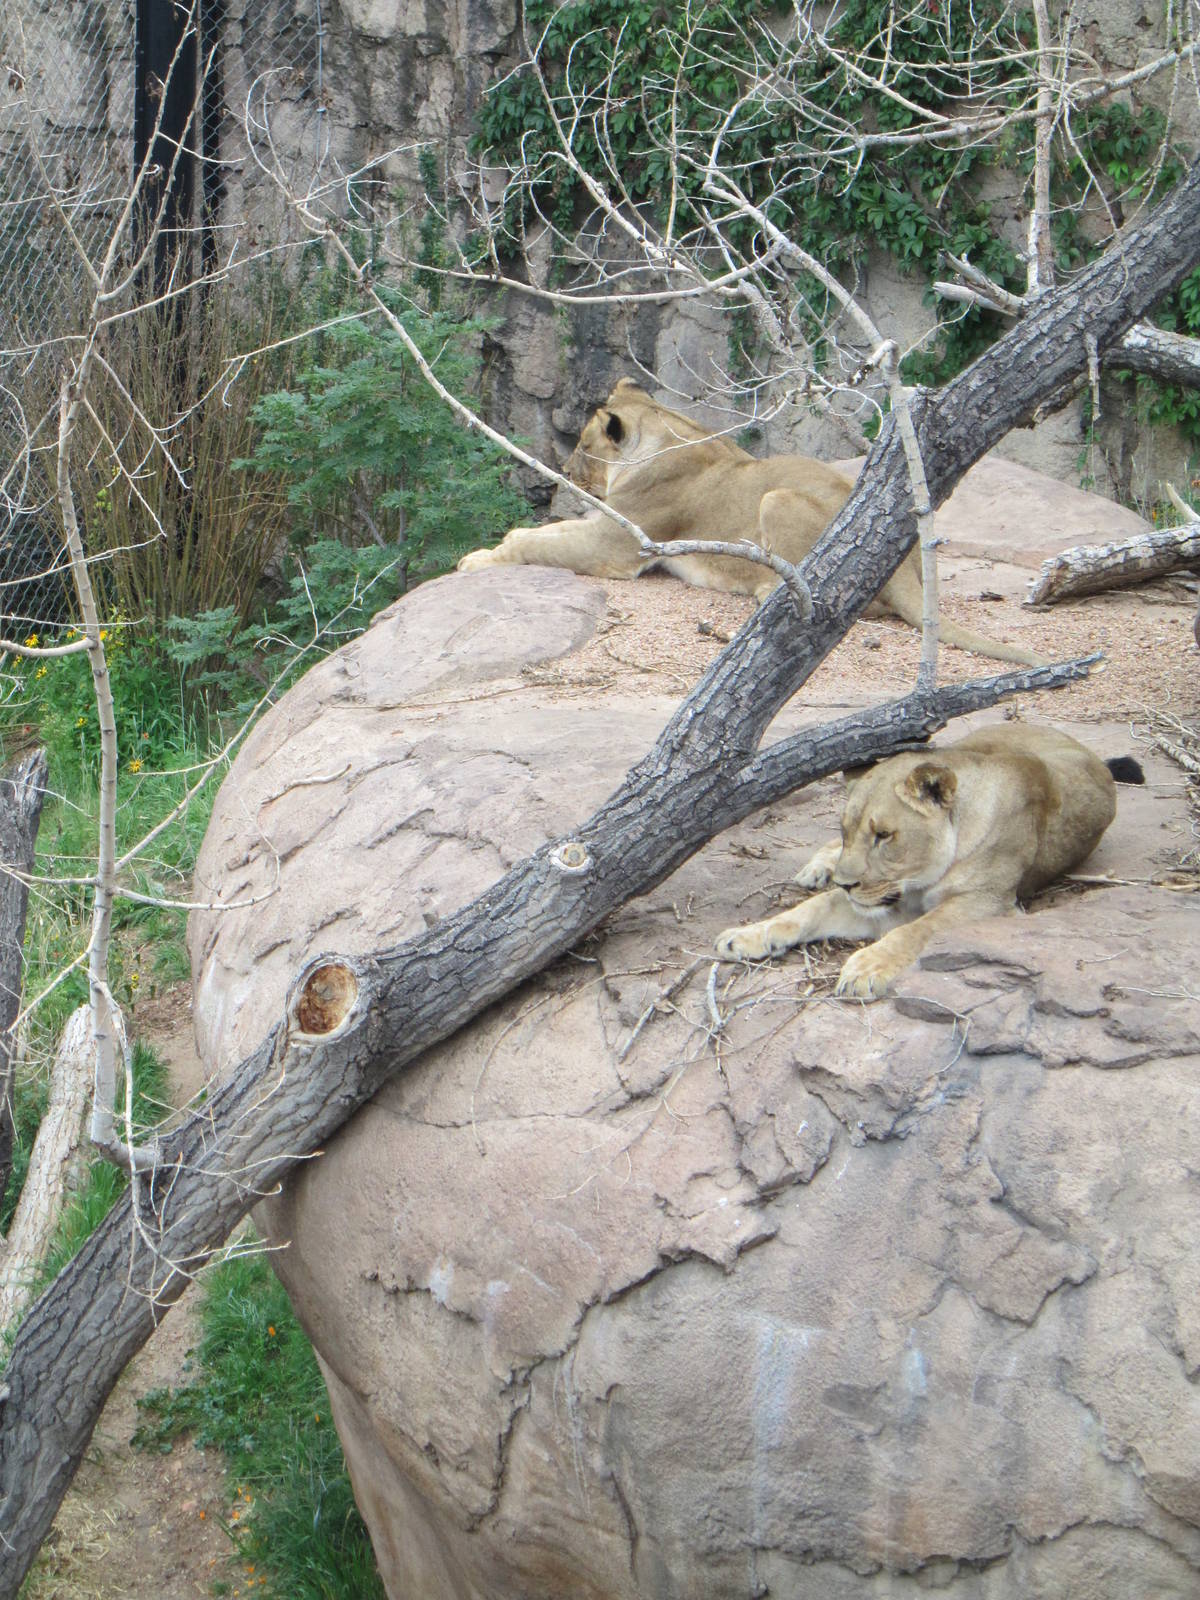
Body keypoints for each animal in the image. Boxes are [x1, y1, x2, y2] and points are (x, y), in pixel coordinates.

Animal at [458, 378, 1043, 666]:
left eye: (582, 446)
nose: (564, 472)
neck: (666, 434)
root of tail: (906, 568)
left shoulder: (619, 545)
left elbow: (535, 543)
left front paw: (477, 558)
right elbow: (541, 534)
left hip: (776, 499)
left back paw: (767, 593)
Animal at [715, 724, 1142, 1000]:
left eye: (884, 835)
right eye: (846, 829)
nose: (847, 884)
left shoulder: (987, 903)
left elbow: (917, 931)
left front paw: (865, 969)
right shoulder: (884, 897)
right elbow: (810, 910)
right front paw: (748, 935)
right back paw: (815, 870)